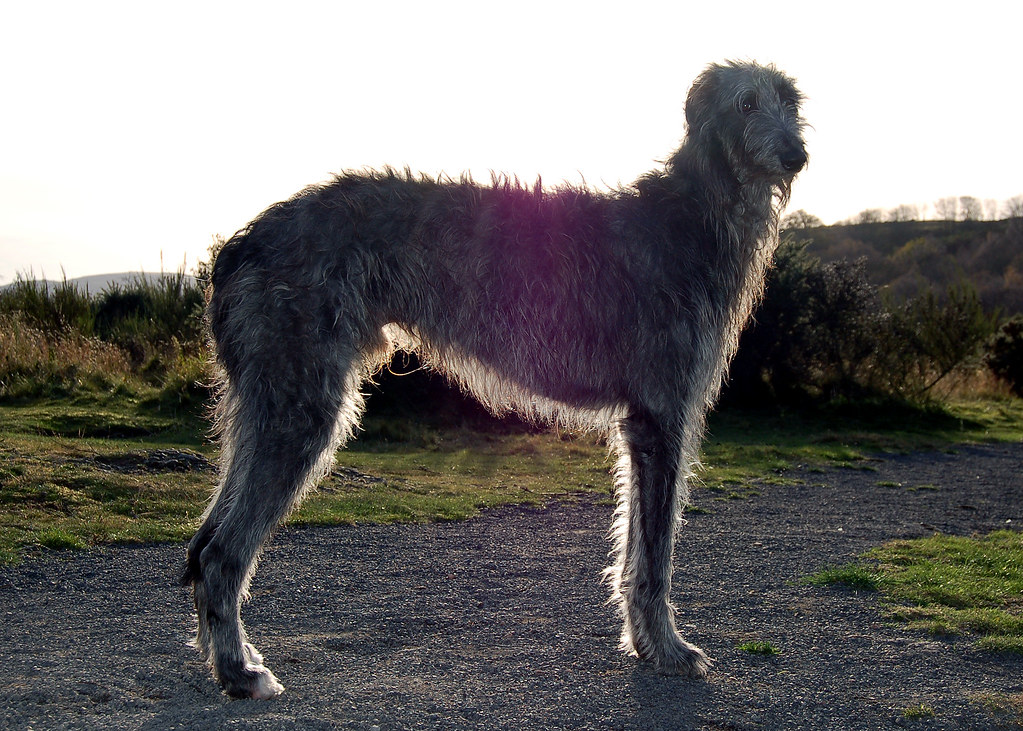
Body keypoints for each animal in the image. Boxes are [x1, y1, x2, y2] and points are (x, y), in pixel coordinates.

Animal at [184, 58, 806, 699]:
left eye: (791, 103)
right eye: (747, 103)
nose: (797, 155)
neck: (692, 214)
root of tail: (239, 245)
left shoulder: (643, 423)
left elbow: (637, 548)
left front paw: (644, 644)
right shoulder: (661, 415)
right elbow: (654, 554)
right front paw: (668, 648)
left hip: (268, 400)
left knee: (203, 542)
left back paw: (222, 657)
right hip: (300, 403)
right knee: (221, 552)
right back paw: (238, 670)